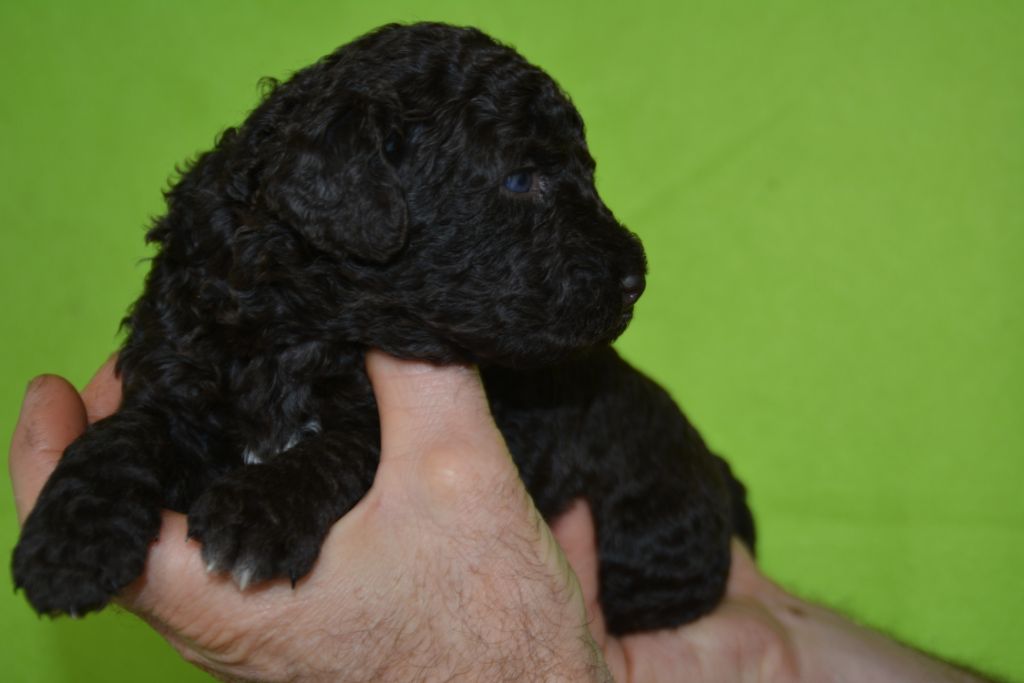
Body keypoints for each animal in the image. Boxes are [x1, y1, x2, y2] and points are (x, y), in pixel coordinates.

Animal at [12, 22, 754, 635]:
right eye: (521, 179)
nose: (636, 277)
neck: (301, 327)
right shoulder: (182, 367)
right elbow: (125, 433)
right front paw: (70, 541)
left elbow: (350, 441)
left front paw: (261, 509)